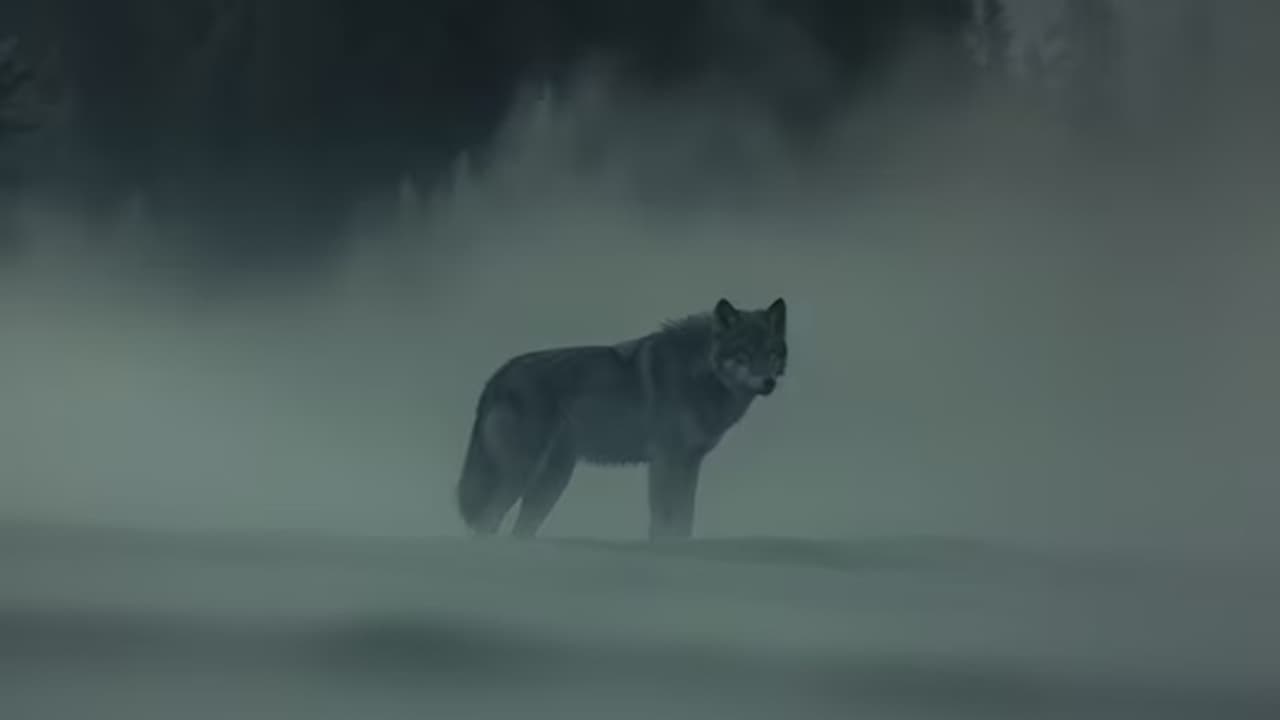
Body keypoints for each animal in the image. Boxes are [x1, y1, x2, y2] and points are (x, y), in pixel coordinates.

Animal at [455, 297, 788, 541]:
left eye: (771, 353)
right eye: (745, 352)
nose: (768, 383)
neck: (702, 376)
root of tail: (496, 377)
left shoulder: (690, 463)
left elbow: (684, 521)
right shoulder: (666, 462)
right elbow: (665, 522)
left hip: (551, 481)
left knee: (519, 529)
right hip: (521, 475)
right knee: (487, 521)